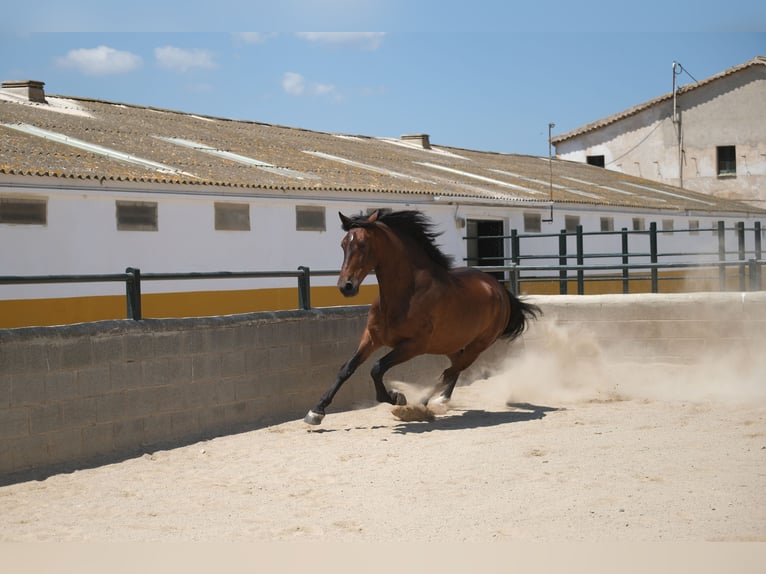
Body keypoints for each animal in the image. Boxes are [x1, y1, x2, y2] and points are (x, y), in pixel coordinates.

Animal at [304, 209, 544, 426]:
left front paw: (396, 398)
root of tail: (500, 289)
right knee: (453, 370)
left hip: (477, 345)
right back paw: (436, 401)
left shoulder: (414, 345)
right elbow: (347, 369)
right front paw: (316, 412)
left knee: (450, 371)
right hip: (450, 344)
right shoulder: (372, 337)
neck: (406, 294)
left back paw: (420, 405)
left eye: (363, 244)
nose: (346, 286)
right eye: (343, 244)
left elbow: (377, 368)